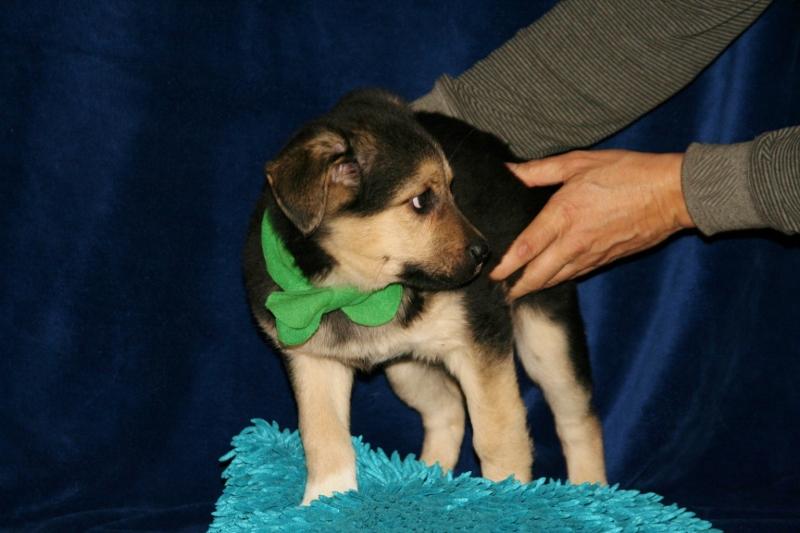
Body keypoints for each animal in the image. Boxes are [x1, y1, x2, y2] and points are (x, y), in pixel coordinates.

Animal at [243, 89, 606, 505]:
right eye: (420, 201)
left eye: (452, 188)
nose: (485, 254)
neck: (357, 292)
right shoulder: (312, 359)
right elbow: (323, 437)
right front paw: (326, 500)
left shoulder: (479, 342)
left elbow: (498, 433)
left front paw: (505, 496)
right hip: (406, 366)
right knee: (447, 410)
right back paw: (424, 480)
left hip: (546, 338)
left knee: (578, 420)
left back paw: (592, 489)